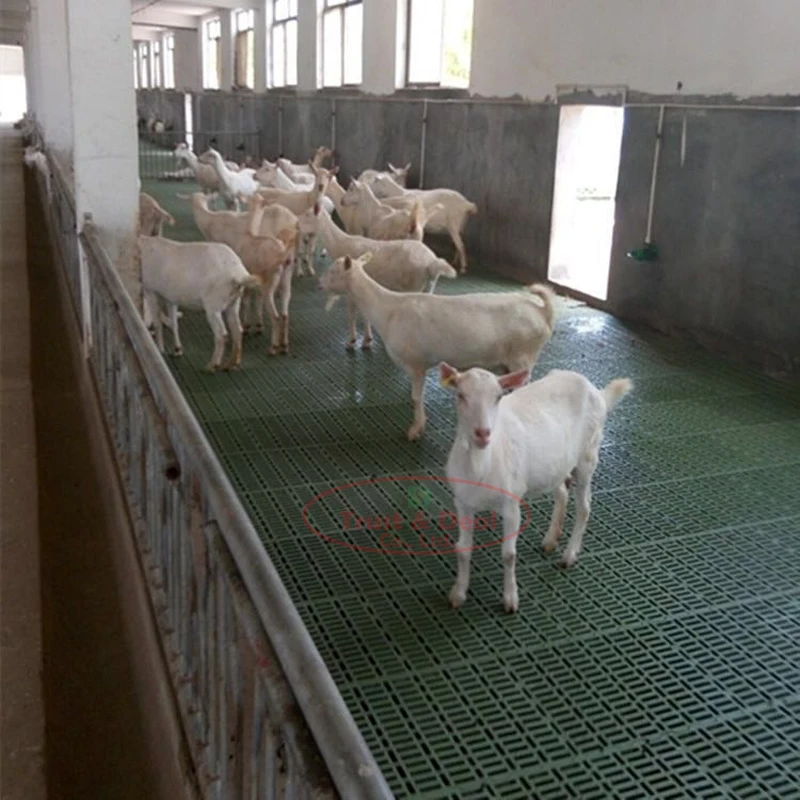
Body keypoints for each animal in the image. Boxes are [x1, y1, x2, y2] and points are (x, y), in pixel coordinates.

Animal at [138, 236, 261, 372]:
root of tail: (239, 273)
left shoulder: (150, 290)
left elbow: (157, 322)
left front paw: (160, 350)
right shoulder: (171, 297)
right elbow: (173, 323)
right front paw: (177, 350)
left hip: (213, 305)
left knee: (221, 334)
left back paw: (212, 365)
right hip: (233, 303)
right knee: (237, 330)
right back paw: (231, 364)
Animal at [300, 204, 458, 350]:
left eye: (308, 215)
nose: (297, 226)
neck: (339, 243)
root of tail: (432, 262)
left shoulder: (351, 289)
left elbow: (352, 315)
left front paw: (352, 341)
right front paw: (367, 340)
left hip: (414, 286)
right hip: (429, 286)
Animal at [318, 252, 555, 441]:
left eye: (333, 272)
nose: (319, 284)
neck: (388, 309)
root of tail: (542, 311)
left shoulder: (415, 363)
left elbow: (416, 397)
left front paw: (416, 429)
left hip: (522, 357)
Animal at [439, 364, 633, 613]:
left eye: (498, 396)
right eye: (460, 395)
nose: (483, 433)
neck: (481, 464)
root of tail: (597, 391)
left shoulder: (511, 504)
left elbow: (509, 554)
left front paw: (510, 600)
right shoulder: (462, 503)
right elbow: (462, 549)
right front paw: (458, 593)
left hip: (588, 456)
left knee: (584, 507)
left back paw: (569, 555)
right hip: (556, 464)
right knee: (562, 493)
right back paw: (550, 540)